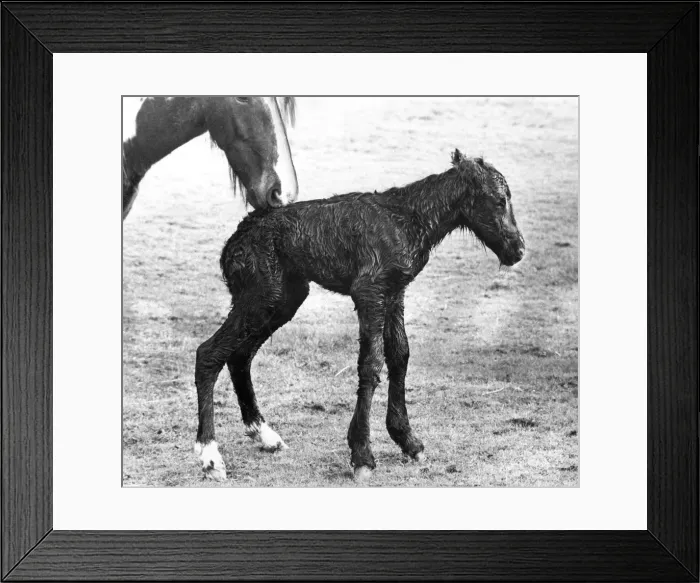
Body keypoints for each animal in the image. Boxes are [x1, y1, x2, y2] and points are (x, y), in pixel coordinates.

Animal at [194, 149, 526, 482]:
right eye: (499, 200)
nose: (518, 249)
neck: (408, 220)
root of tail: (232, 244)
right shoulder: (369, 291)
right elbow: (371, 364)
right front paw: (362, 454)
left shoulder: (394, 293)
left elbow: (400, 355)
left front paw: (408, 440)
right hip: (262, 297)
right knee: (209, 353)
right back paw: (210, 455)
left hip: (284, 299)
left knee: (239, 356)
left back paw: (264, 434)